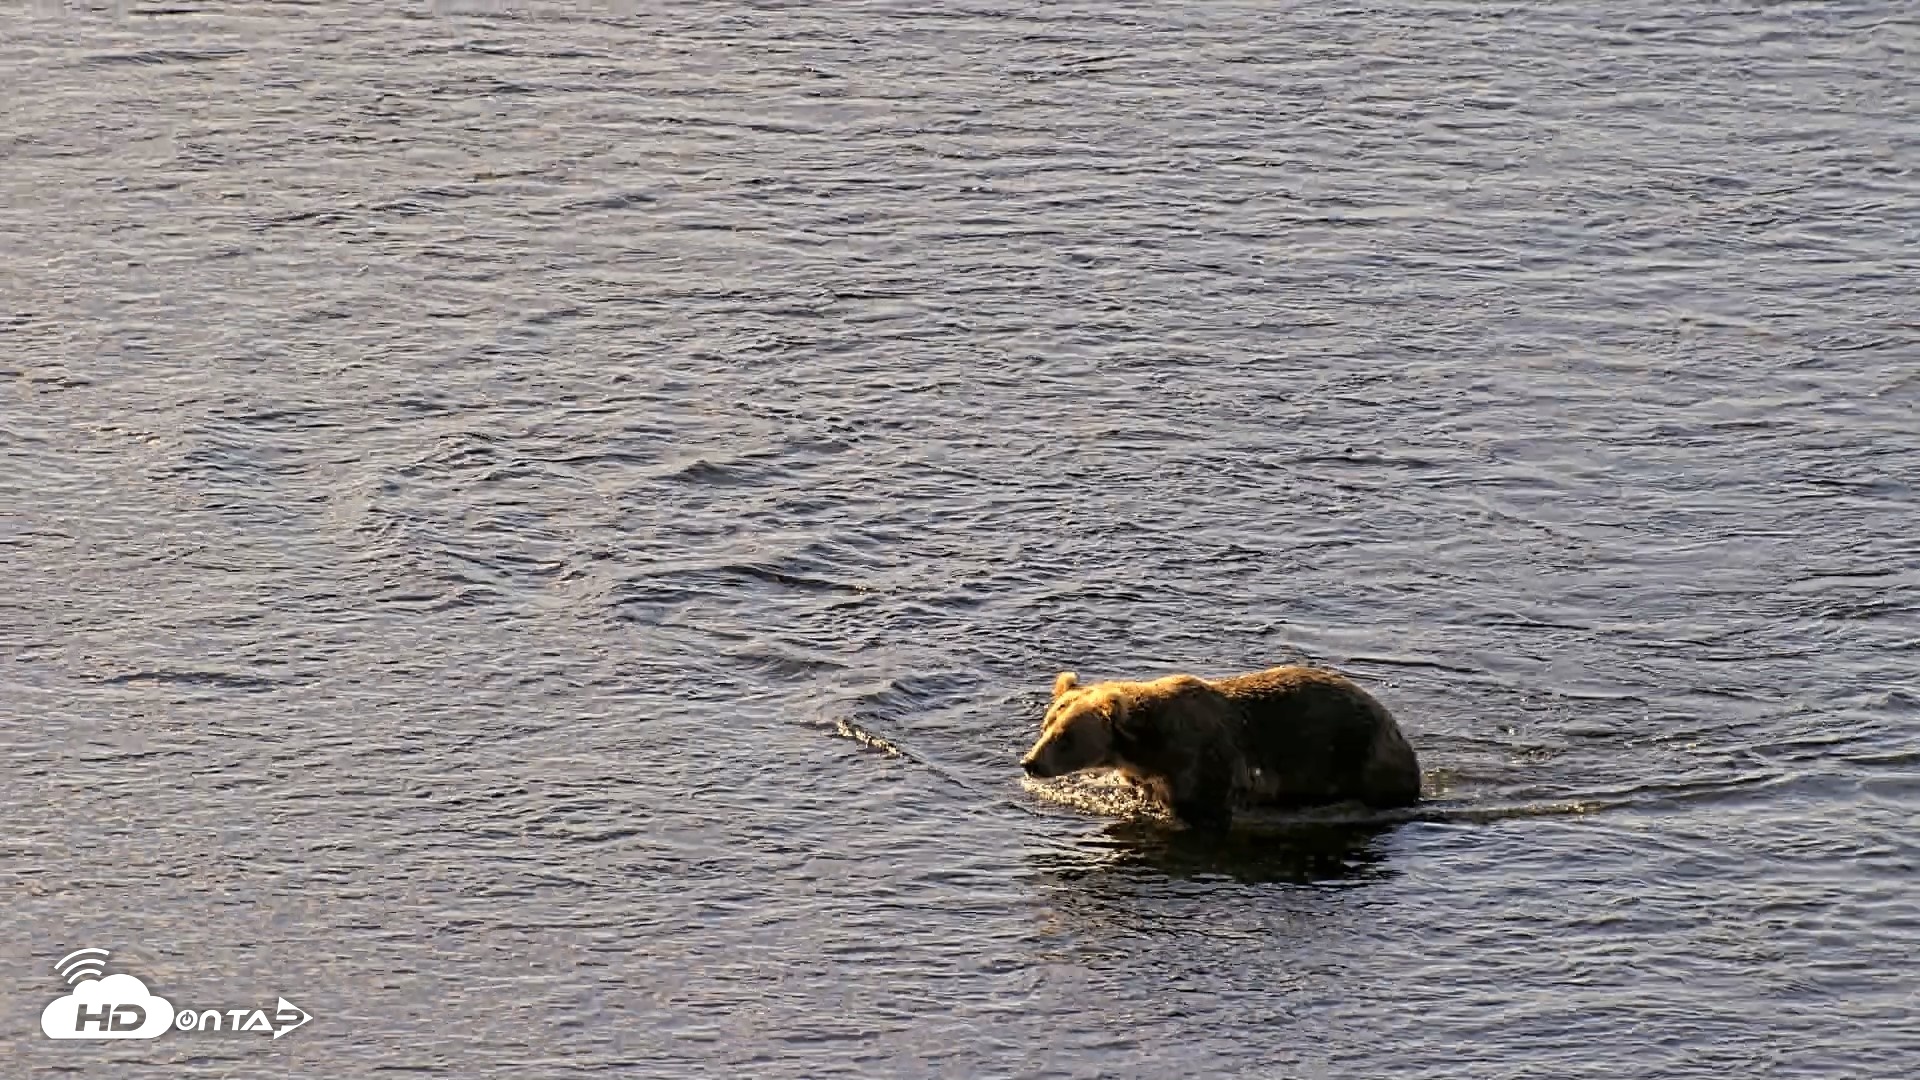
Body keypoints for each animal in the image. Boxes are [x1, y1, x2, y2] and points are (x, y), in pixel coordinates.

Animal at [1018, 664, 1421, 831]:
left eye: (1065, 737)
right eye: (1045, 725)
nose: (1030, 763)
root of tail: (1392, 721)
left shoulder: (1203, 762)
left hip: (1356, 753)